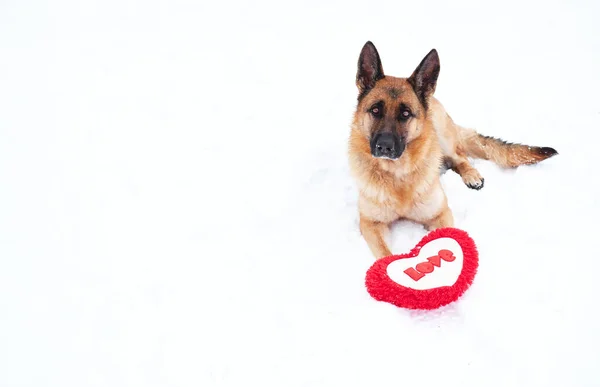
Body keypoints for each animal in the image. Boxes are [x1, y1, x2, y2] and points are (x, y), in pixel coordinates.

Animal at [346, 41, 556, 260]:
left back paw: (472, 175)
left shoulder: (441, 214)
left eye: (405, 114)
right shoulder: (371, 224)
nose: (384, 147)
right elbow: (385, 255)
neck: (398, 176)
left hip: (442, 135)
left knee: (459, 157)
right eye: (375, 110)